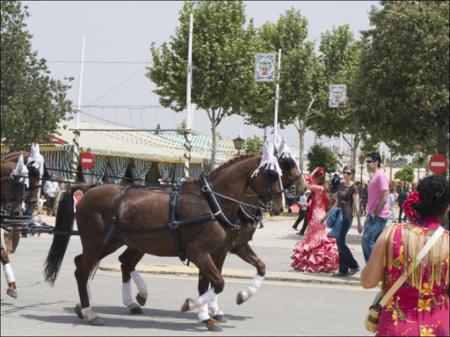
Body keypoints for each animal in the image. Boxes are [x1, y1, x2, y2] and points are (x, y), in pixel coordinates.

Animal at [44, 152, 284, 328]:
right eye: (273, 174)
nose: (281, 206)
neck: (211, 202)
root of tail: (88, 189)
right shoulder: (200, 253)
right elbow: (218, 283)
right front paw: (192, 306)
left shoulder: (213, 251)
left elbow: (210, 283)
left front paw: (208, 316)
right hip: (97, 242)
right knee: (85, 269)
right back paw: (89, 311)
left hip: (113, 242)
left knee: (88, 264)